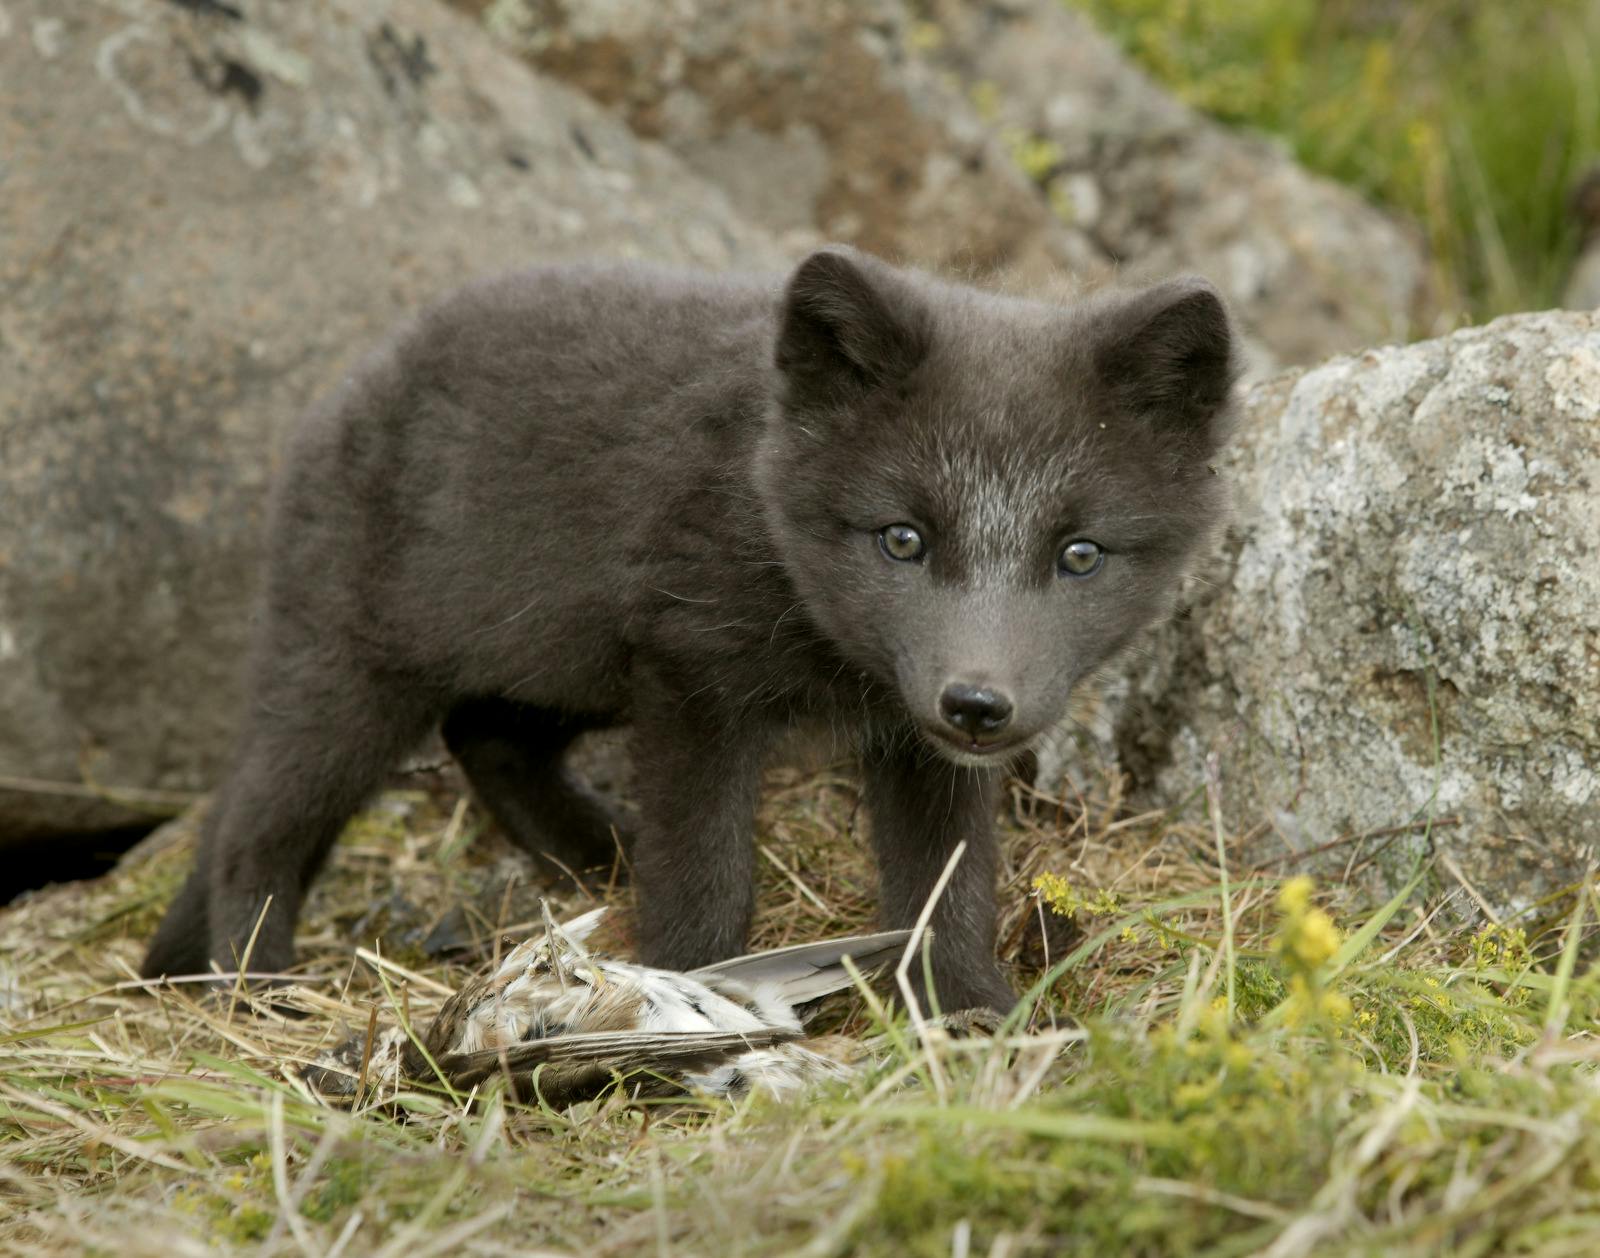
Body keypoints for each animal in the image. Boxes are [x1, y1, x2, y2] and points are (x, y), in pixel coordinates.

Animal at [140, 246, 1237, 1014]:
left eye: (1081, 554)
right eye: (903, 538)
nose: (977, 703)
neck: (764, 515)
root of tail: (343, 395)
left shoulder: (907, 735)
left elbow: (947, 881)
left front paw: (963, 1013)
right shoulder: (691, 675)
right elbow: (707, 873)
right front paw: (695, 999)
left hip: (558, 659)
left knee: (485, 736)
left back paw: (600, 857)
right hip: (357, 674)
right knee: (253, 824)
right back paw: (252, 984)